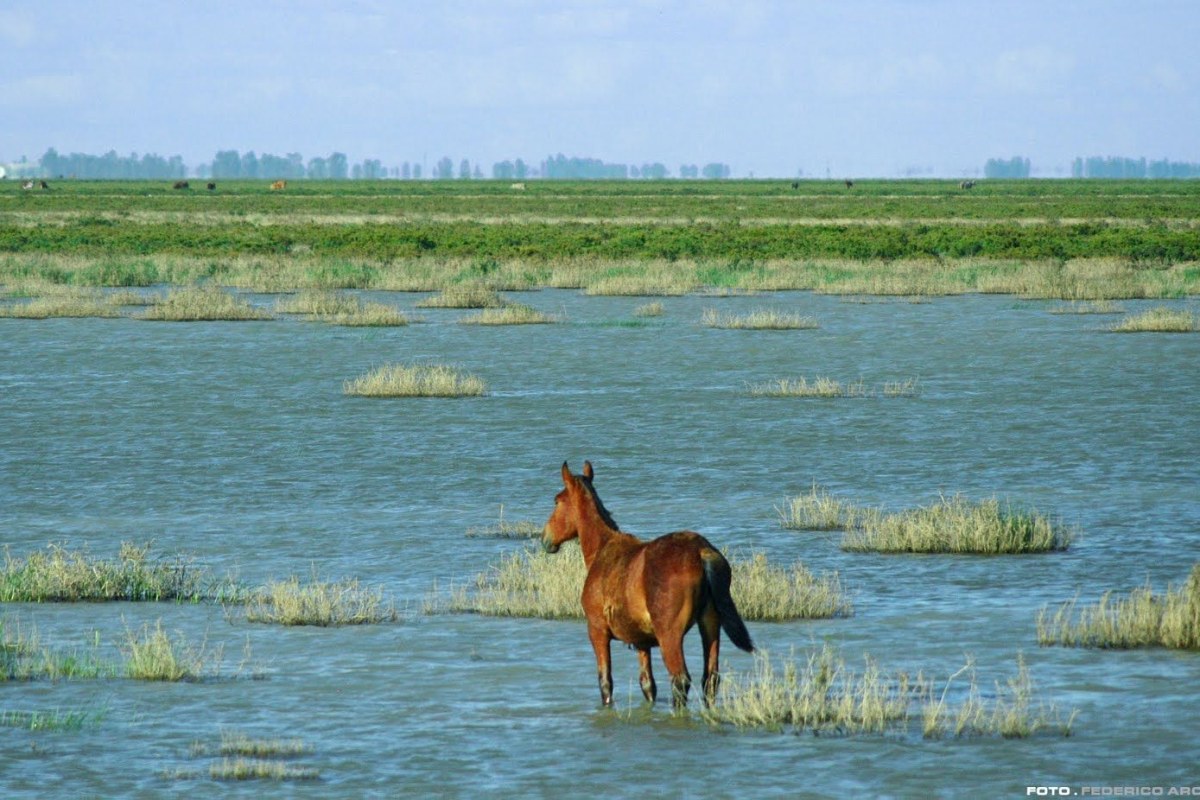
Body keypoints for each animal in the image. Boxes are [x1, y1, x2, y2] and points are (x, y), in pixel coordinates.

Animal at [542, 461, 754, 708]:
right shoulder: (641, 641)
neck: (602, 550)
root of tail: (702, 551)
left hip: (669, 635)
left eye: (557, 501)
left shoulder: (597, 631)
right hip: (710, 624)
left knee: (680, 680)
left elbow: (606, 682)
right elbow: (647, 684)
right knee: (709, 680)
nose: (545, 538)